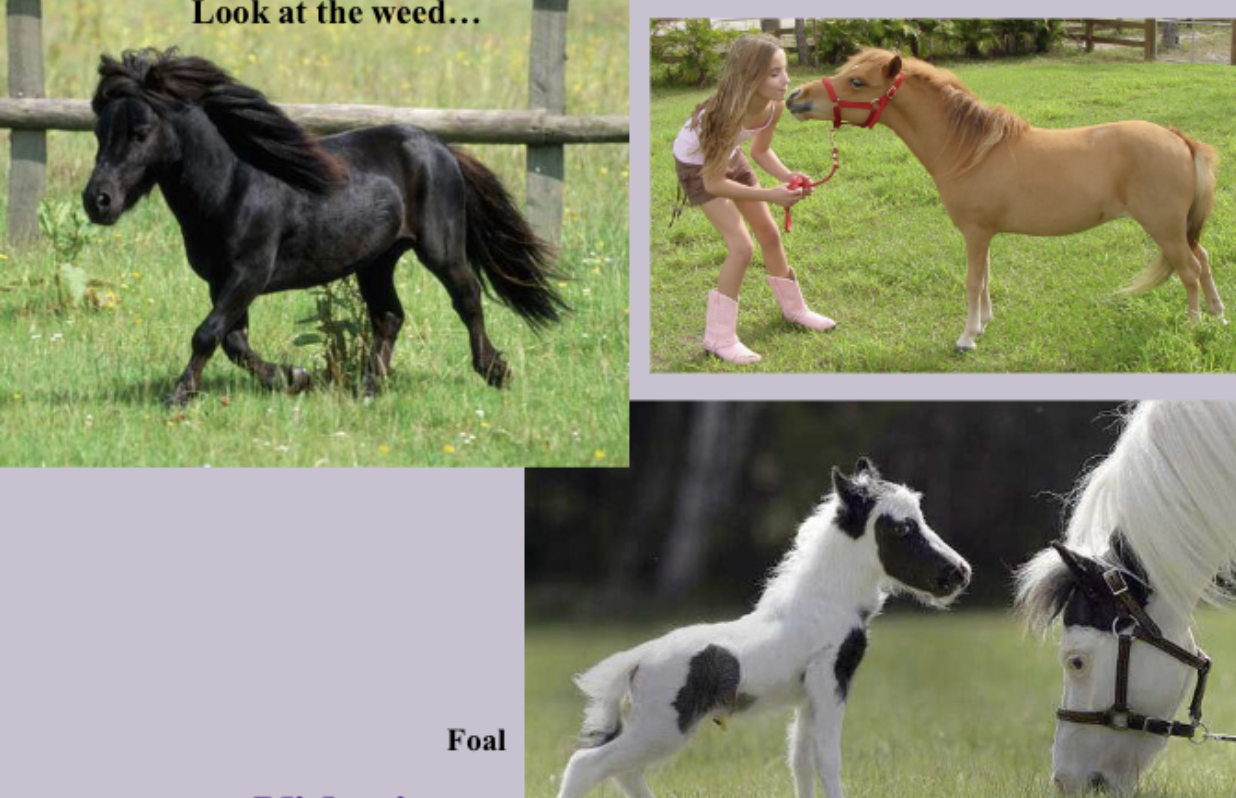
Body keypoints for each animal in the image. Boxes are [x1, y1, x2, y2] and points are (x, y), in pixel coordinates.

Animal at [82, 48, 565, 406]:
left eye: (142, 132)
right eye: (100, 133)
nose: (97, 201)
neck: (232, 185)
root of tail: (440, 147)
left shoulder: (248, 274)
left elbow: (207, 334)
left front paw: (179, 396)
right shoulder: (221, 281)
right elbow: (233, 341)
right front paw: (294, 378)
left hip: (440, 249)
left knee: (467, 299)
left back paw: (495, 370)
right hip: (376, 260)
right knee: (389, 316)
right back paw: (369, 389)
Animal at [556, 458, 971, 798]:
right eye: (901, 529)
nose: (959, 572)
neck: (825, 601)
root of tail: (637, 659)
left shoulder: (808, 696)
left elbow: (800, 761)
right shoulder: (830, 681)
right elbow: (828, 759)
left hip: (656, 728)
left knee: (624, 773)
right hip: (663, 727)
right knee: (586, 765)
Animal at [787, 49, 1225, 353]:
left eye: (858, 82)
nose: (795, 96)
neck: (971, 150)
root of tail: (1178, 139)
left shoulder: (975, 232)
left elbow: (972, 282)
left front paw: (966, 338)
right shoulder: (985, 234)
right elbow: (985, 279)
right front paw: (982, 325)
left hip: (1164, 228)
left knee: (1189, 271)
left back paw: (1194, 325)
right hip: (1178, 230)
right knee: (1203, 261)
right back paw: (1218, 317)